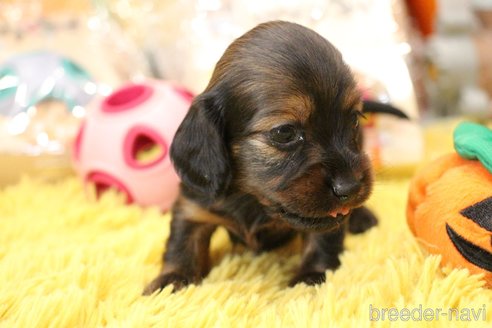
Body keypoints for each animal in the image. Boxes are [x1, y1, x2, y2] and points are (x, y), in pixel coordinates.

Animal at [144, 21, 378, 294]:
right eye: (285, 132)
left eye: (354, 119)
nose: (350, 188)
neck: (251, 198)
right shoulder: (193, 206)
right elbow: (182, 243)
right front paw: (171, 280)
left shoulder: (326, 222)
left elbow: (324, 240)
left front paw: (312, 276)